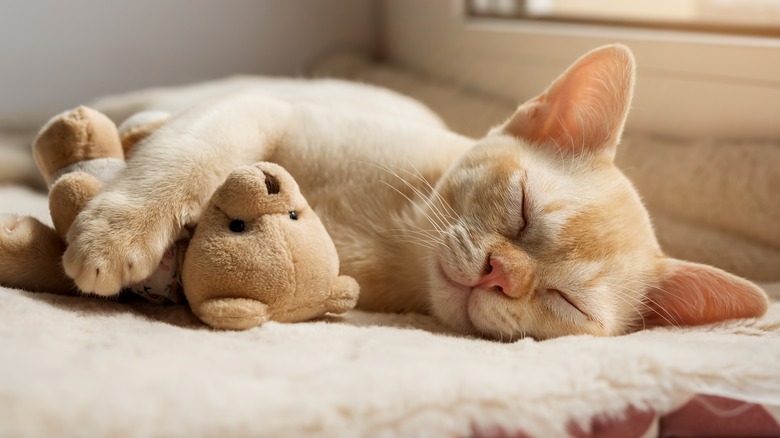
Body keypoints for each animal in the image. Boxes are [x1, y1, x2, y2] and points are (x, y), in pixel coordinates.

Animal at [19, 43, 772, 338]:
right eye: (522, 209)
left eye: (566, 301)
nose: (501, 273)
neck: (397, 240)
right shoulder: (265, 110)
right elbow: (191, 158)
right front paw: (115, 234)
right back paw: (120, 135)